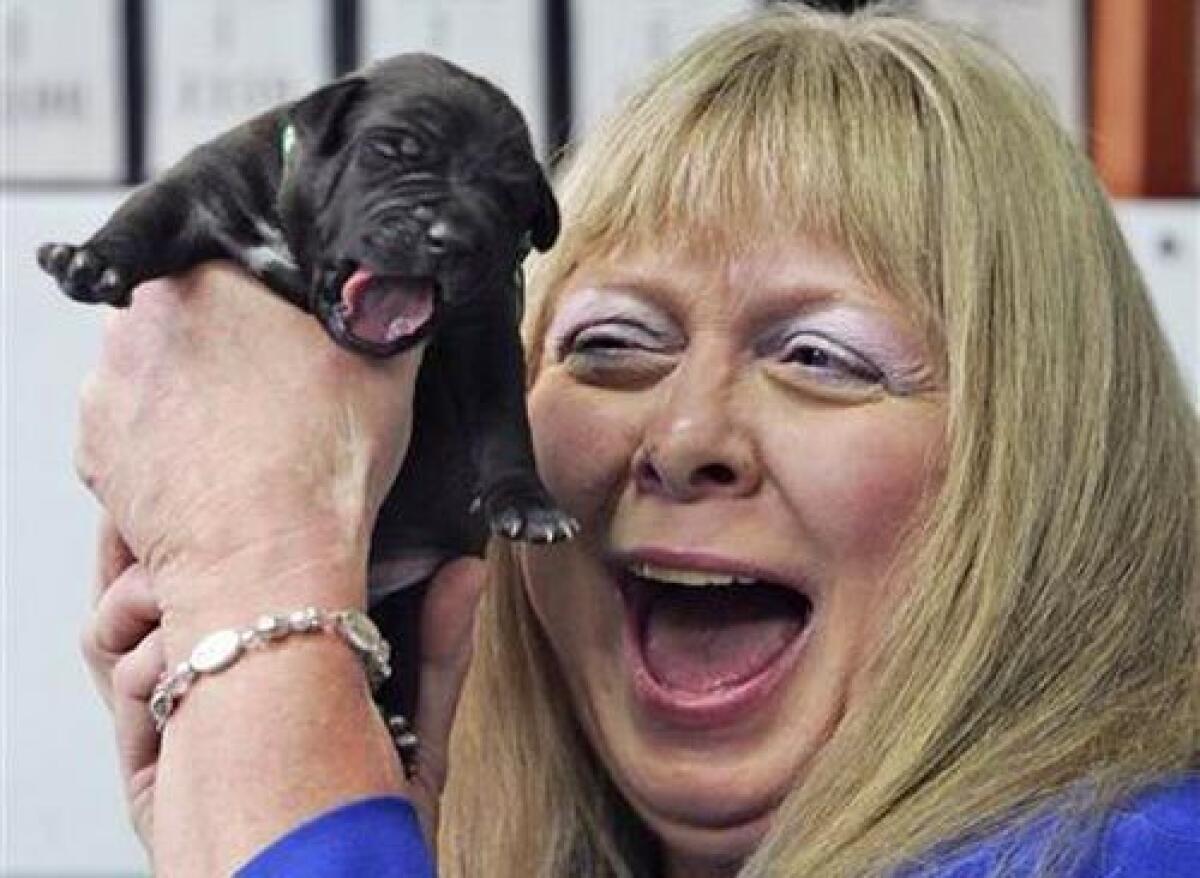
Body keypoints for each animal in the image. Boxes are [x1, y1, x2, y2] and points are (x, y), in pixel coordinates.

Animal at [36, 51, 576, 606]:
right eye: (391, 151)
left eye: (510, 193)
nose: (453, 236)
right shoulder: (206, 186)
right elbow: (149, 214)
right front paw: (91, 261)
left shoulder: (484, 322)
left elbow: (500, 417)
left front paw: (527, 501)